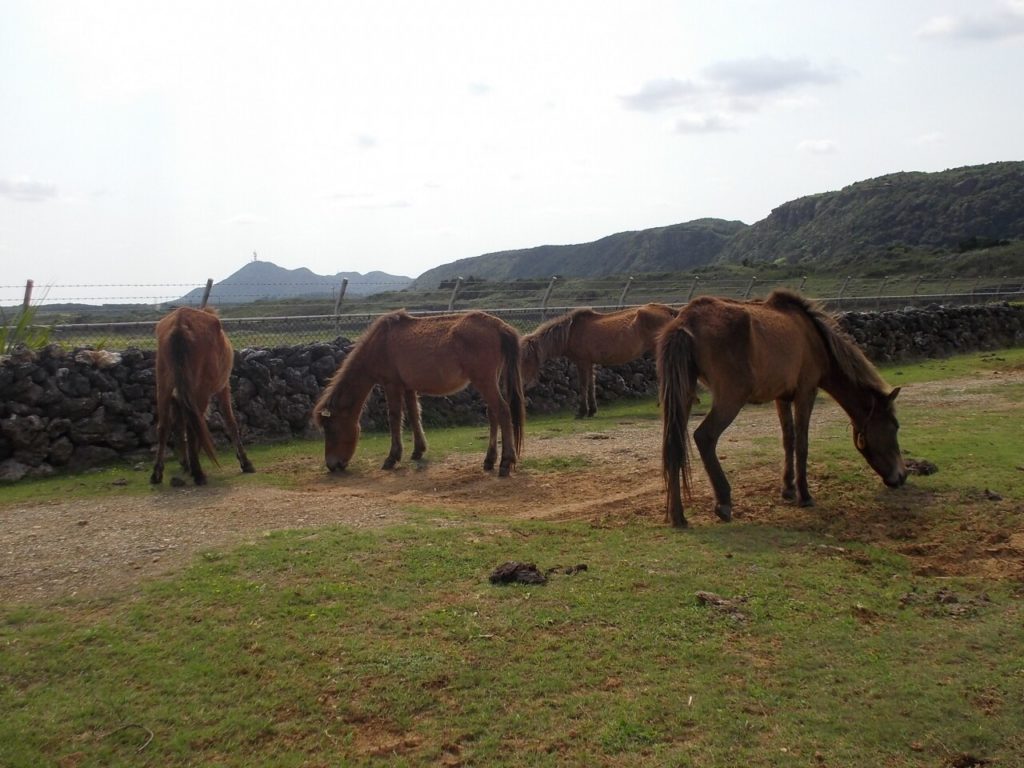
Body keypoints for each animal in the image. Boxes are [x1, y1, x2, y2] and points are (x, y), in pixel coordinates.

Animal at [149, 307, 253, 487]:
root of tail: (180, 323)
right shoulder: (223, 387)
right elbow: (231, 422)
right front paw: (244, 461)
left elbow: (181, 426)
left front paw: (186, 461)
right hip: (201, 390)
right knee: (193, 427)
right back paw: (198, 472)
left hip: (164, 386)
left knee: (164, 427)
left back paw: (157, 473)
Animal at [311, 309, 524, 479]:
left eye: (330, 428)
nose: (332, 465)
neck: (380, 343)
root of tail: (498, 326)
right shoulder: (408, 387)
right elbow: (414, 415)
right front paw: (418, 450)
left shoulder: (392, 385)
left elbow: (395, 418)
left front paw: (392, 457)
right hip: (490, 381)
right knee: (493, 414)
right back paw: (489, 460)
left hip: (484, 381)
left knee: (502, 411)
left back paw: (506, 462)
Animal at [520, 303, 679, 417]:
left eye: (528, 359)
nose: (524, 384)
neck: (571, 332)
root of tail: (667, 310)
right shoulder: (590, 363)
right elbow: (591, 385)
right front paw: (592, 410)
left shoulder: (582, 362)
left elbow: (583, 385)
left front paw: (582, 411)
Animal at [655, 290, 905, 528]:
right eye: (894, 427)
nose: (901, 476)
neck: (813, 338)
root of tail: (685, 321)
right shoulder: (806, 393)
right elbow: (802, 444)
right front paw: (804, 495)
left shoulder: (782, 398)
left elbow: (789, 440)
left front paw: (788, 488)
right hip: (730, 399)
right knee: (704, 437)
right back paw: (723, 501)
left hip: (683, 396)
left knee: (674, 445)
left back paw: (678, 515)